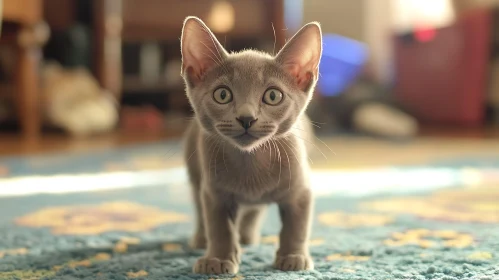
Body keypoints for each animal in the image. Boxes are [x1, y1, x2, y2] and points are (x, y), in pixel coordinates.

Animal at [182, 16, 322, 274]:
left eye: (273, 96)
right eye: (223, 95)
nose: (246, 118)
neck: (250, 161)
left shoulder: (300, 190)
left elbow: (297, 226)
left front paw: (293, 256)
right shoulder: (214, 192)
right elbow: (219, 227)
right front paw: (218, 259)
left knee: (255, 209)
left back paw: (247, 235)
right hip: (195, 170)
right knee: (199, 205)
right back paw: (202, 239)